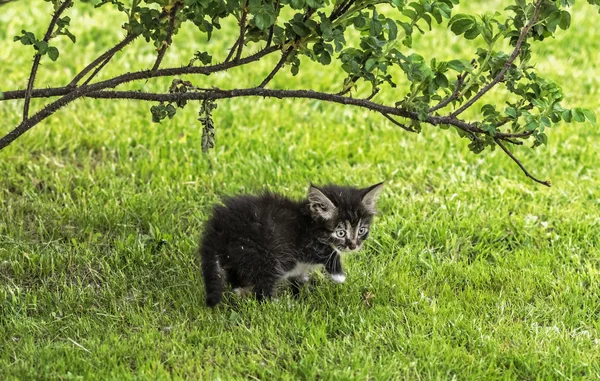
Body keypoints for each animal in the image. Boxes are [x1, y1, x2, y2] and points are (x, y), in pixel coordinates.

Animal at [199, 181, 382, 306]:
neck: (309, 223)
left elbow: (299, 277)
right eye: (341, 233)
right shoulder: (303, 244)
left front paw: (303, 292)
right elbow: (328, 251)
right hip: (266, 253)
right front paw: (338, 275)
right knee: (263, 291)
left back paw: (242, 291)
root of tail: (218, 228)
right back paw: (280, 305)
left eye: (361, 230)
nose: (353, 245)